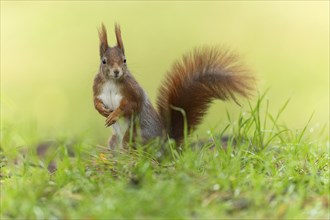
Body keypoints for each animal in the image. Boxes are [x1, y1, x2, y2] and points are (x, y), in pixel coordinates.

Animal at [93, 23, 255, 149]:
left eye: (124, 60)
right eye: (104, 61)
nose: (116, 71)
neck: (112, 82)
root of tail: (165, 145)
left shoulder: (133, 91)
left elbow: (131, 105)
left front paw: (114, 115)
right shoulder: (97, 88)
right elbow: (95, 102)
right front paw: (102, 110)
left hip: (134, 134)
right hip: (114, 139)